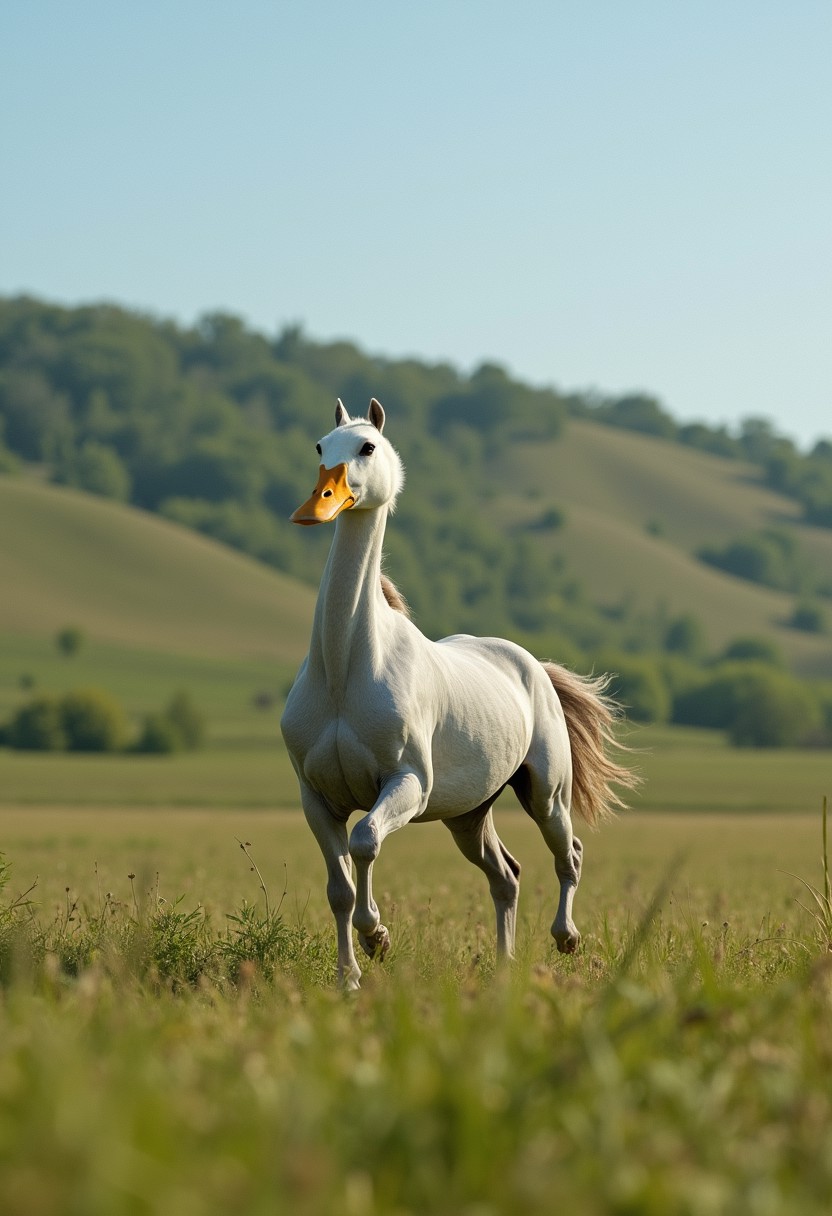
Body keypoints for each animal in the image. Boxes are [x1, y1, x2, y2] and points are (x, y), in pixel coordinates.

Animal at [280, 398, 638, 989]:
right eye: (319, 447)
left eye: (367, 447)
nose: (314, 508)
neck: (344, 674)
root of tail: (534, 668)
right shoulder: (317, 799)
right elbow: (339, 889)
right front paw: (349, 977)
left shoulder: (408, 783)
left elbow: (366, 842)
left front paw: (377, 937)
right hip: (467, 816)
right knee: (506, 876)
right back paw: (504, 968)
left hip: (547, 792)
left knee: (570, 854)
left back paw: (566, 938)